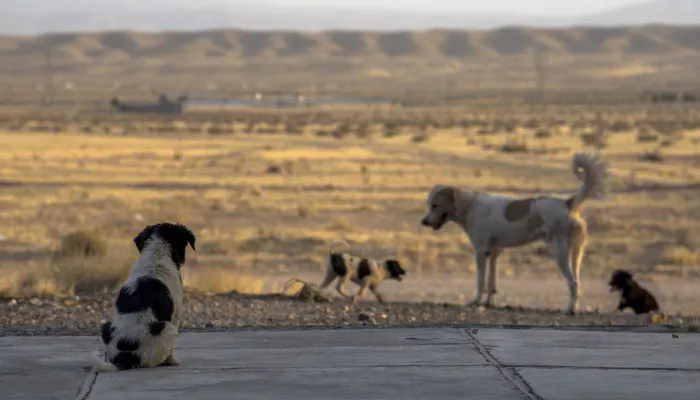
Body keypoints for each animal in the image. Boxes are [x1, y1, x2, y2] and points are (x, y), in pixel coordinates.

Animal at [90, 222, 196, 372]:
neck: (156, 256)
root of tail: (124, 358)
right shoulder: (176, 314)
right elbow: (171, 350)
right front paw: (173, 361)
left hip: (106, 326)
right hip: (168, 330)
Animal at [422, 152, 608, 314]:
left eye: (435, 205)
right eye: (429, 204)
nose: (423, 222)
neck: (470, 207)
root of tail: (567, 203)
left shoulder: (481, 252)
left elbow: (480, 281)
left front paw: (475, 301)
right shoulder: (493, 253)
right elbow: (491, 283)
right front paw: (487, 303)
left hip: (560, 252)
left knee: (573, 282)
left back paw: (569, 310)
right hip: (577, 253)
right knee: (577, 281)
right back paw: (574, 308)